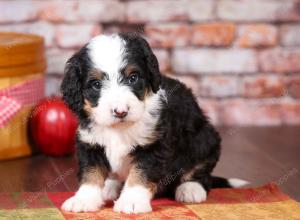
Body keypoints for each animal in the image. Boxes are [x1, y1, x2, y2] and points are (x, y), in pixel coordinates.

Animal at [59, 32, 247, 213]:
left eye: (133, 78)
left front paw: (132, 201)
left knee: (201, 172)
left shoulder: (152, 145)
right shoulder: (90, 143)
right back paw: (110, 186)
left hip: (204, 139)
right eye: (96, 84)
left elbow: (140, 174)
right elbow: (90, 173)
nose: (120, 111)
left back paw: (190, 189)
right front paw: (83, 200)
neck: (120, 129)